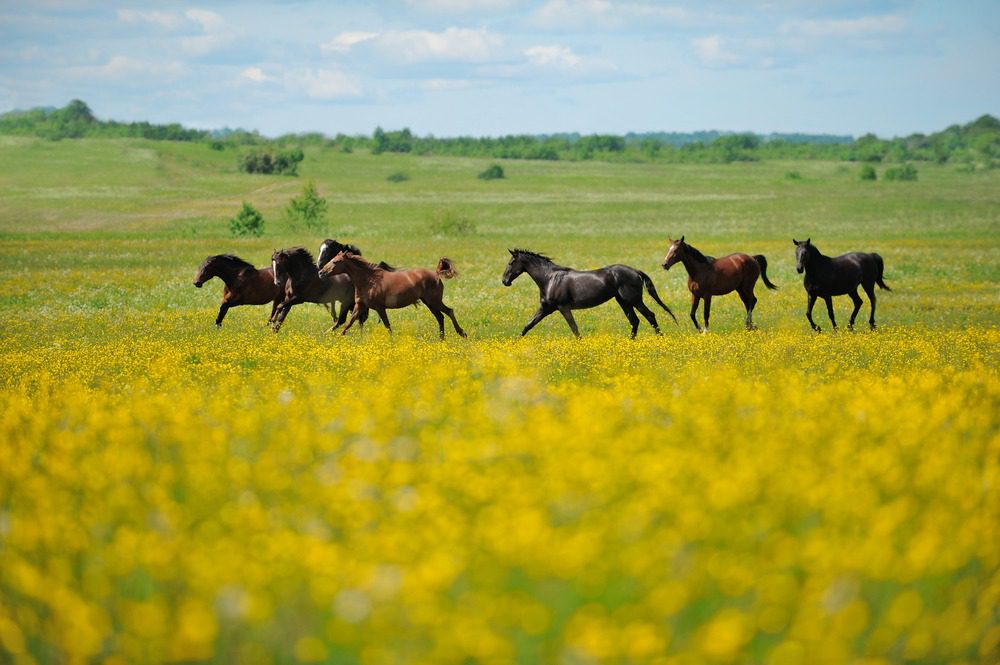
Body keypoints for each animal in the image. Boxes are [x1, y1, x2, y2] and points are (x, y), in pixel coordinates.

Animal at [319, 251, 467, 339]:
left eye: (335, 262)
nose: (321, 273)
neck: (369, 280)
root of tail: (436, 275)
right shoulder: (359, 306)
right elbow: (348, 323)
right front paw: (337, 338)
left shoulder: (380, 307)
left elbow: (387, 325)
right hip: (429, 303)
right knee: (440, 317)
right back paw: (442, 338)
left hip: (433, 301)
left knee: (449, 312)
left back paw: (461, 333)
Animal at [501, 248, 677, 338]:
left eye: (511, 262)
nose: (505, 281)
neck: (549, 279)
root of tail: (635, 271)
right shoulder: (546, 308)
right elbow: (528, 325)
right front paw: (514, 343)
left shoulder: (563, 308)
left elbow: (575, 329)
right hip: (623, 301)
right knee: (635, 321)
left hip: (634, 300)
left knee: (650, 316)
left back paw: (660, 339)